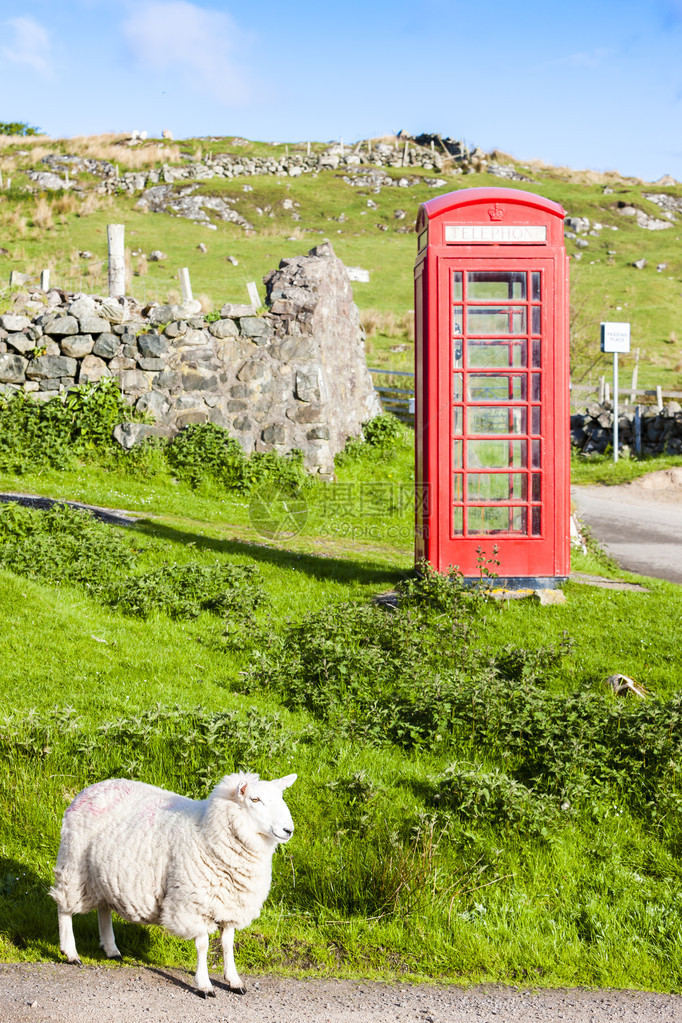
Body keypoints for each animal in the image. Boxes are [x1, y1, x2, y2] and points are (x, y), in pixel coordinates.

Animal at [50, 769, 296, 994]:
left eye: (281, 798)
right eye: (255, 799)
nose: (288, 830)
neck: (207, 832)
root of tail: (93, 787)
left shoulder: (230, 903)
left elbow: (227, 944)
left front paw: (234, 981)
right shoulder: (194, 903)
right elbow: (203, 945)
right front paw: (204, 985)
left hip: (103, 875)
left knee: (103, 908)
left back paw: (111, 949)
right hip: (74, 865)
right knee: (64, 907)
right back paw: (70, 952)